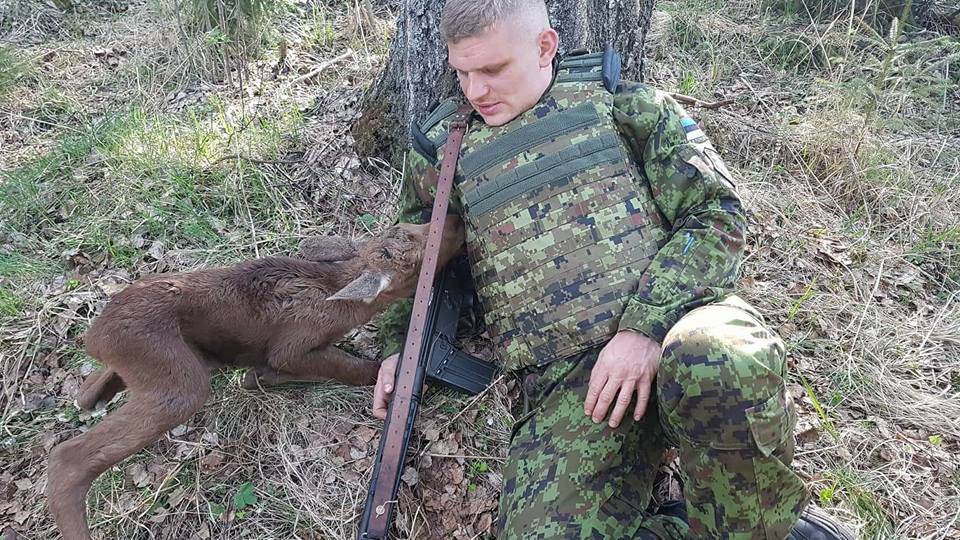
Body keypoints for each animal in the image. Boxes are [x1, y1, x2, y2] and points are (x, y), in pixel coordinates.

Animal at [46, 217, 464, 540]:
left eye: (409, 227)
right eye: (417, 259)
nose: (455, 220)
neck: (341, 300)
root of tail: (94, 336)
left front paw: (255, 376)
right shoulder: (294, 345)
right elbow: (353, 367)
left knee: (85, 393)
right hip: (178, 381)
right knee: (68, 456)